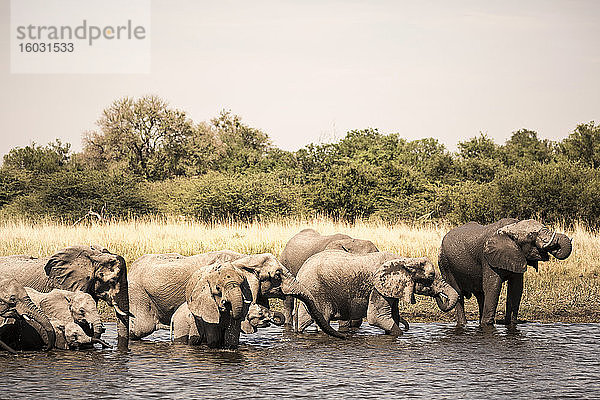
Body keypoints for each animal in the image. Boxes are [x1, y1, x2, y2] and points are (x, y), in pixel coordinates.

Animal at [296, 252, 460, 336]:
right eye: (431, 276)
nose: (438, 295)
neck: (405, 260)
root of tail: (301, 270)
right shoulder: (377, 287)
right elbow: (377, 317)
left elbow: (393, 316)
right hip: (317, 290)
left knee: (303, 320)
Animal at [440, 219, 572, 328]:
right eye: (531, 235)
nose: (555, 246)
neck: (512, 228)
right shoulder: (488, 258)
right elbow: (493, 287)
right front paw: (487, 325)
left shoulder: (517, 255)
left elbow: (516, 289)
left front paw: (510, 324)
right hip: (445, 264)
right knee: (458, 293)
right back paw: (464, 324)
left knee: (480, 295)